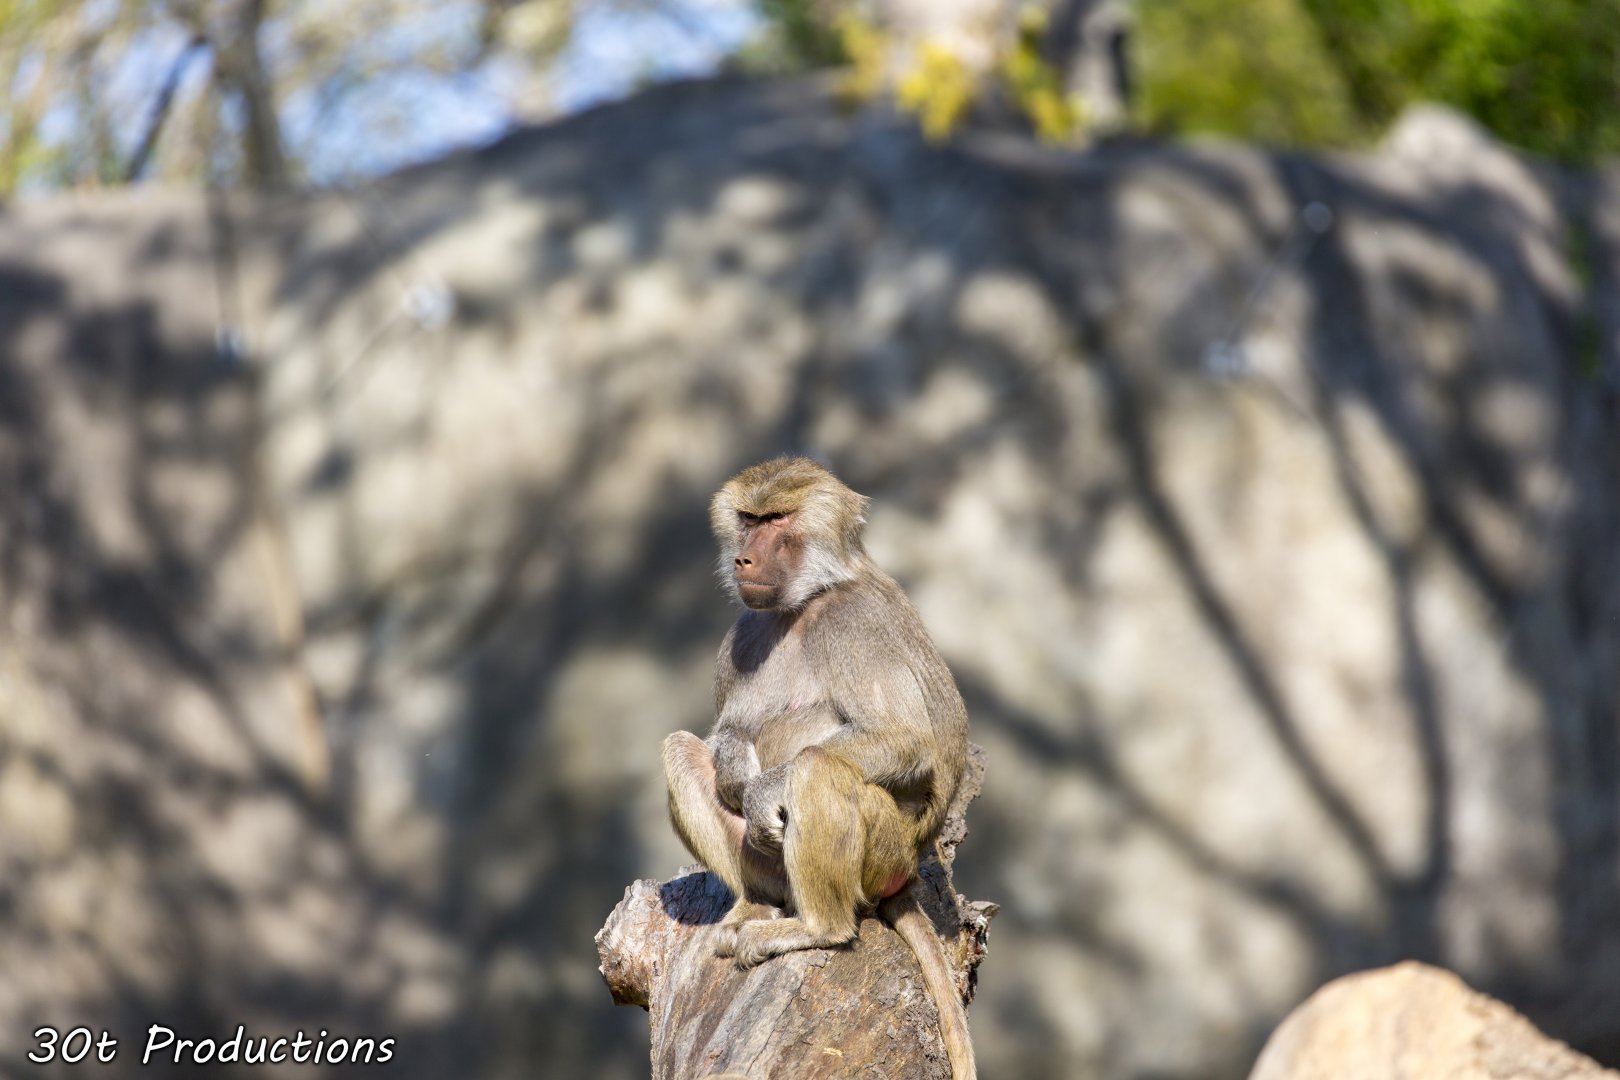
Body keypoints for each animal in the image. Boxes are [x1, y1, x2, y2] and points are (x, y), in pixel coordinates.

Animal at [661, 456, 976, 1080]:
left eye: (778, 520)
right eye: (749, 519)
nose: (744, 559)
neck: (805, 603)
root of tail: (911, 867)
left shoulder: (856, 626)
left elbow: (906, 739)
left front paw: (763, 792)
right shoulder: (744, 631)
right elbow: (727, 735)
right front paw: (738, 779)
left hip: (881, 855)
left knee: (815, 768)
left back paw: (813, 929)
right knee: (679, 750)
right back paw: (753, 906)